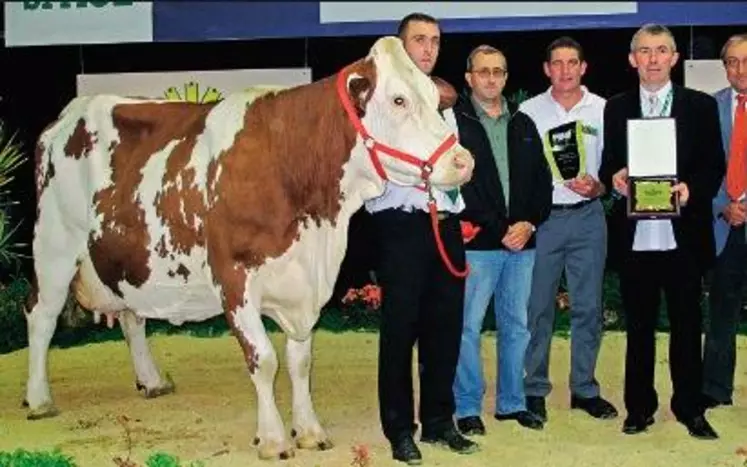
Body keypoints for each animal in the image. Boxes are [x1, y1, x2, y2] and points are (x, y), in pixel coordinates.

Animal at [26, 36, 476, 460]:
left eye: (434, 98)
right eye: (399, 99)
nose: (463, 160)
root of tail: (66, 116)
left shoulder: (305, 284)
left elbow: (300, 360)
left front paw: (309, 431)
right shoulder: (234, 277)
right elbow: (264, 359)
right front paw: (274, 439)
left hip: (125, 257)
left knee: (131, 316)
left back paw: (151, 381)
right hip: (54, 246)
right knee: (40, 315)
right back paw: (38, 399)